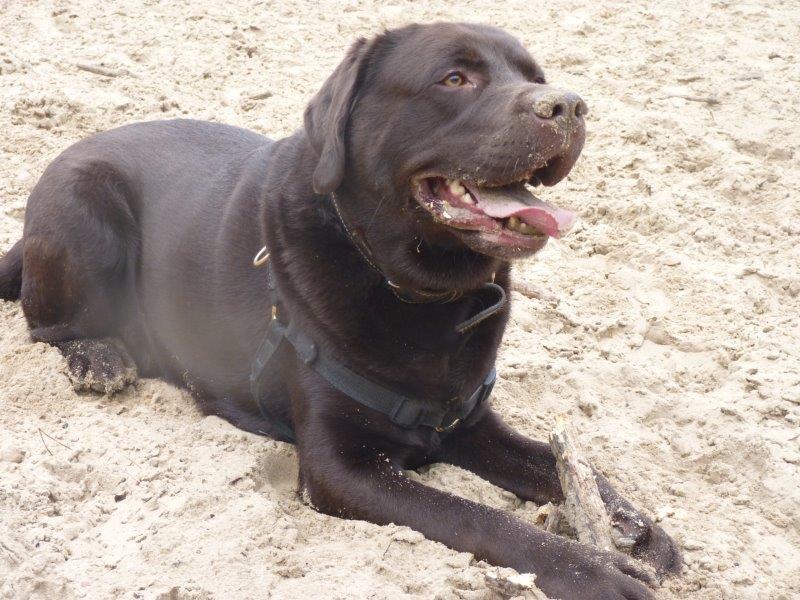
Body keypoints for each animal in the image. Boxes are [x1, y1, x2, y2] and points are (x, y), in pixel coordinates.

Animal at [1, 21, 680, 596]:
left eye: (535, 76)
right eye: (454, 79)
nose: (568, 106)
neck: (418, 294)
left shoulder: (470, 423)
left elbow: (562, 467)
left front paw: (637, 527)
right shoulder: (341, 468)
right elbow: (486, 521)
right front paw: (596, 572)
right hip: (85, 206)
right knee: (48, 322)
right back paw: (97, 355)